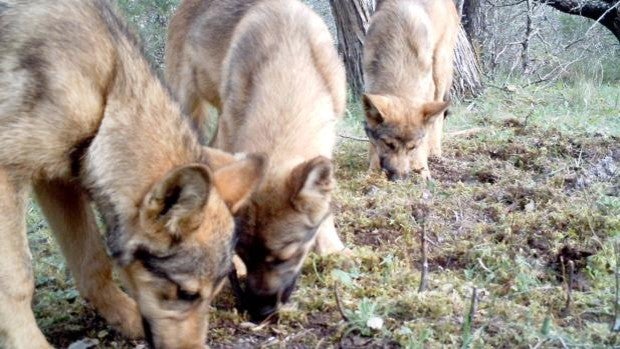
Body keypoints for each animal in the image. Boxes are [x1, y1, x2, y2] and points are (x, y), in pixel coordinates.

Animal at [0, 1, 264, 346]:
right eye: (185, 293)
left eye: (213, 295)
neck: (108, 92)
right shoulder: (8, 173)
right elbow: (17, 281)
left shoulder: (58, 178)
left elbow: (93, 262)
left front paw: (125, 317)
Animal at [360, 0, 458, 179]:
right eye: (388, 144)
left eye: (412, 147)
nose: (399, 178)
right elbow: (372, 141)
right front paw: (373, 170)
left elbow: (424, 140)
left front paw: (422, 169)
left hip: (439, 70)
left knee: (438, 117)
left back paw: (435, 152)